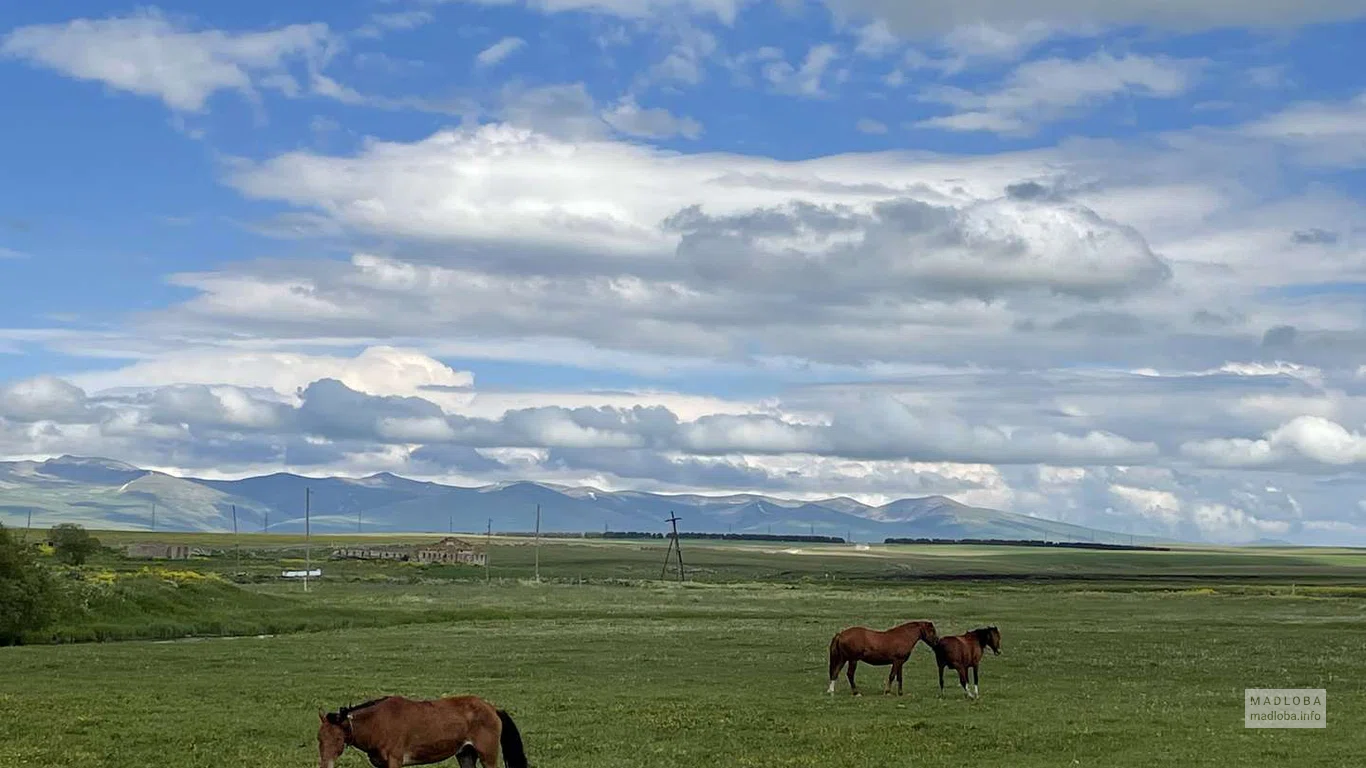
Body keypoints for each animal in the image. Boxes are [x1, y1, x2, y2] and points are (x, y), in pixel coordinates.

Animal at [318, 694, 527, 765]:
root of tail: (492, 708)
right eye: (319, 739)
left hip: (487, 755)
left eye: (338, 739)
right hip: (466, 754)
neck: (378, 723)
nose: (326, 765)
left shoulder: (395, 761)